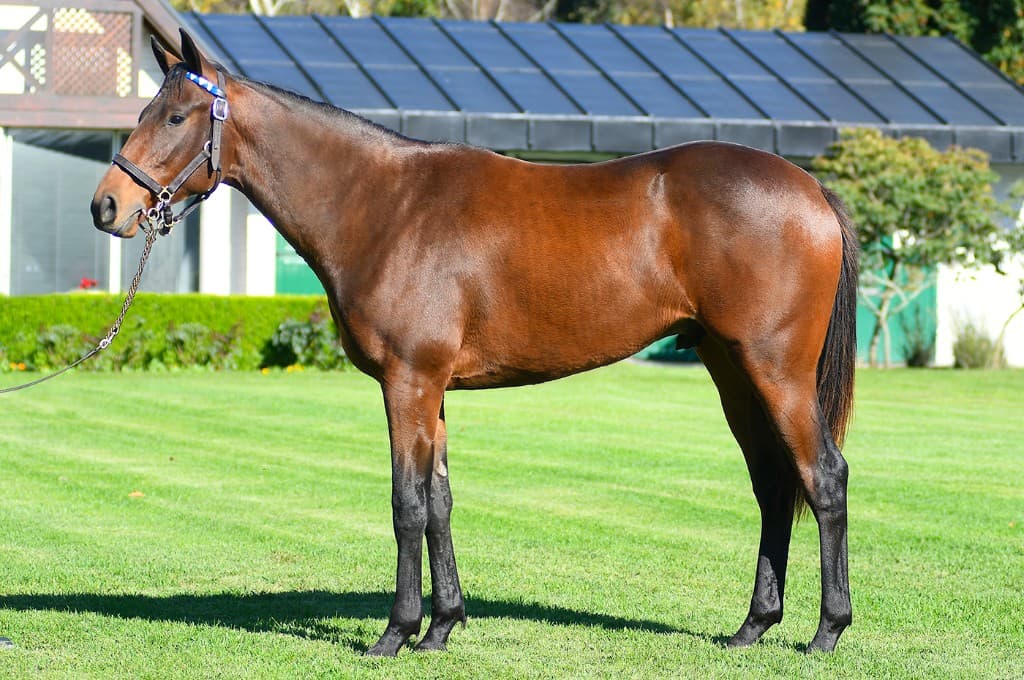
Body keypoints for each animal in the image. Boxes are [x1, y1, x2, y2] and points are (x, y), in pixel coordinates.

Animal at [91, 30, 857, 657]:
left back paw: (827, 631)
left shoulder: (406, 382)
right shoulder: (433, 390)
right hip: (731, 369)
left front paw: (396, 633)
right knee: (773, 483)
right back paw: (753, 626)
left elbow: (406, 504)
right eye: (145, 111)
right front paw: (443, 626)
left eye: (177, 116)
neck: (382, 205)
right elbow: (440, 503)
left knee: (823, 476)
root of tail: (811, 190)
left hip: (776, 371)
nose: (106, 206)